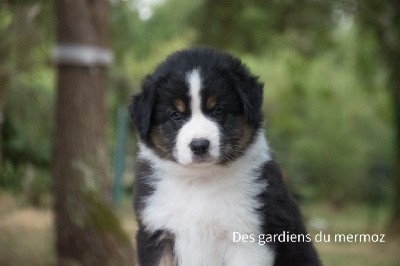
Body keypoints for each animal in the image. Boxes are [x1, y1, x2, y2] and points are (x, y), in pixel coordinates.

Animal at [131, 48, 322, 266]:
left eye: (218, 110)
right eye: (176, 115)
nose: (199, 145)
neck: (199, 181)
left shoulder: (247, 239)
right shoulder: (156, 233)